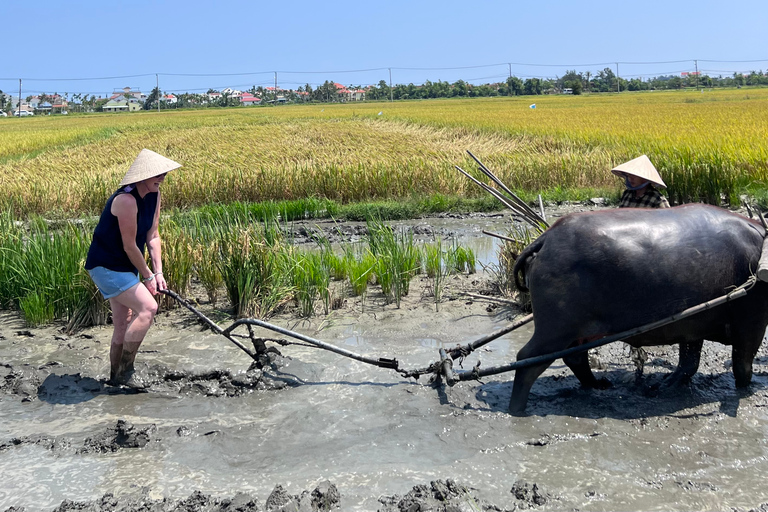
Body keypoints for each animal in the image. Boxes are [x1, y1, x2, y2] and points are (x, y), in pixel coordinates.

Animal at [510, 202, 768, 414]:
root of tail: (546, 238)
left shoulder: (693, 324)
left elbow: (689, 361)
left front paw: (667, 384)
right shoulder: (751, 323)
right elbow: (742, 365)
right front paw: (746, 389)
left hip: (575, 332)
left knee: (574, 358)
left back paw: (598, 385)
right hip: (555, 329)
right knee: (527, 360)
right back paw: (517, 409)